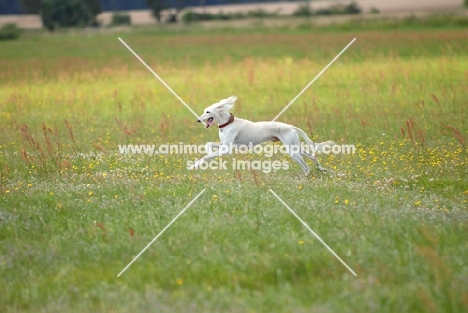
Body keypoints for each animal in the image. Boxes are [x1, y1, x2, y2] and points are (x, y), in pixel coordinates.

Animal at [190, 95, 332, 173]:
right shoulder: (224, 144)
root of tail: (290, 126)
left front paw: (197, 164)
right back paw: (322, 170)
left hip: (293, 151)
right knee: (313, 156)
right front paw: (195, 164)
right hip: (296, 147)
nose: (198, 120)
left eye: (208, 112)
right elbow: (208, 145)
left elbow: (206, 157)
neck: (227, 123)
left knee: (306, 168)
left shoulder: (226, 149)